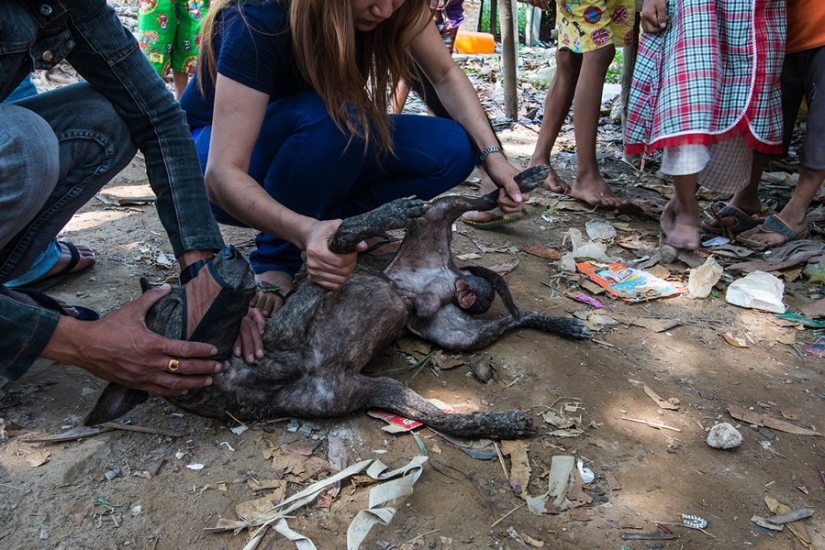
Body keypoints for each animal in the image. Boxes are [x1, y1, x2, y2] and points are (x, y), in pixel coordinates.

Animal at [87, 166, 588, 442]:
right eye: (179, 304)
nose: (224, 254)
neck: (248, 368)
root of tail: (445, 279)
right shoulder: (377, 390)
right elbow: (441, 419)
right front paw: (499, 424)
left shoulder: (320, 285)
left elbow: (342, 233)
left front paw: (382, 214)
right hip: (457, 336)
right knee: (512, 322)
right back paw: (558, 323)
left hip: (439, 213)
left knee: (469, 198)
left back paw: (519, 181)